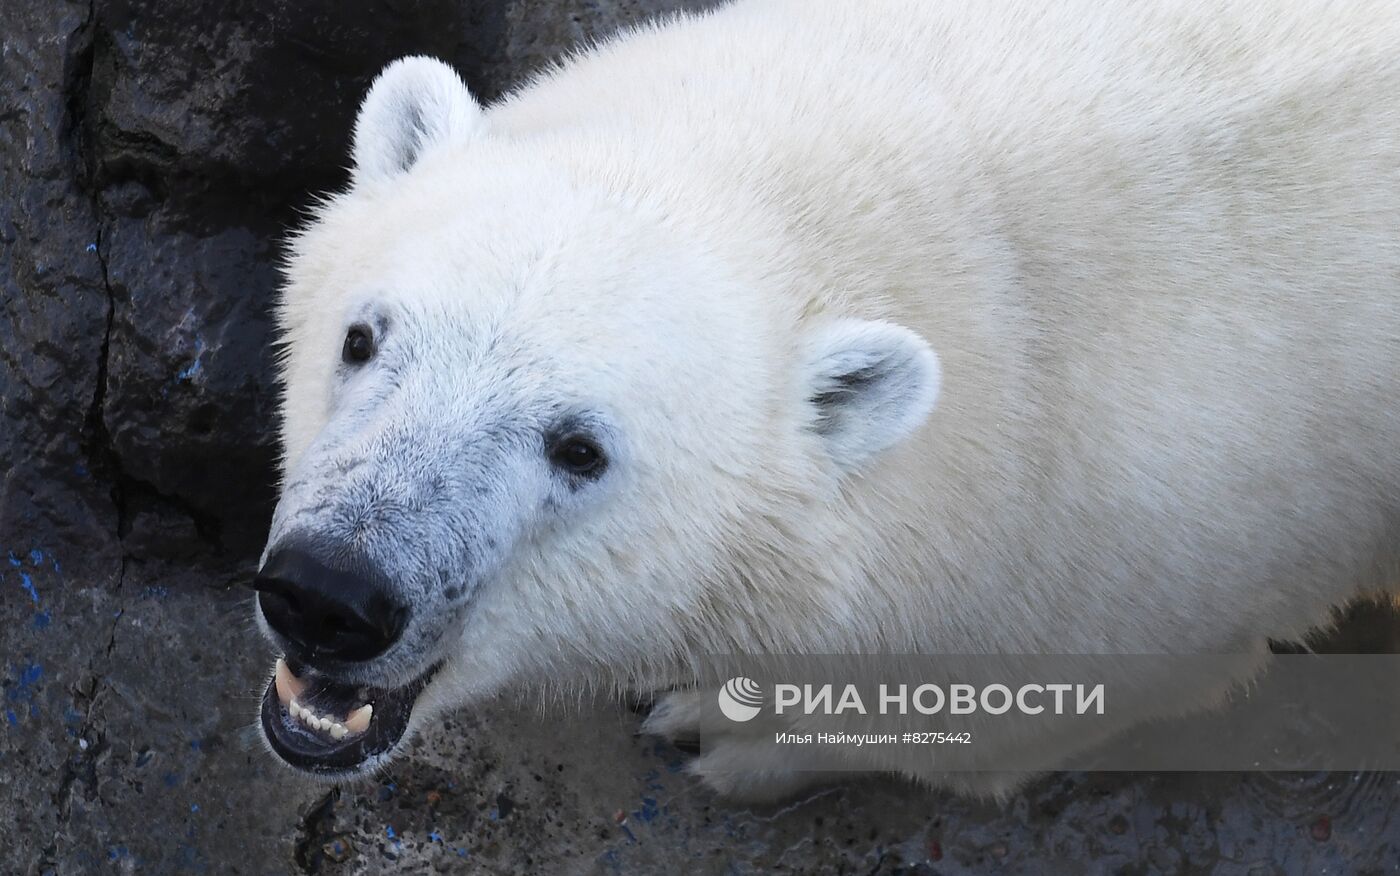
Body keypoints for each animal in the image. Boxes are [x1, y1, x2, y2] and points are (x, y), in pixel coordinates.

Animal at [249, 0, 1400, 794]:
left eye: (579, 448)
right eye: (363, 338)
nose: (331, 593)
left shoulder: (1130, 594)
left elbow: (964, 729)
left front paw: (718, 732)